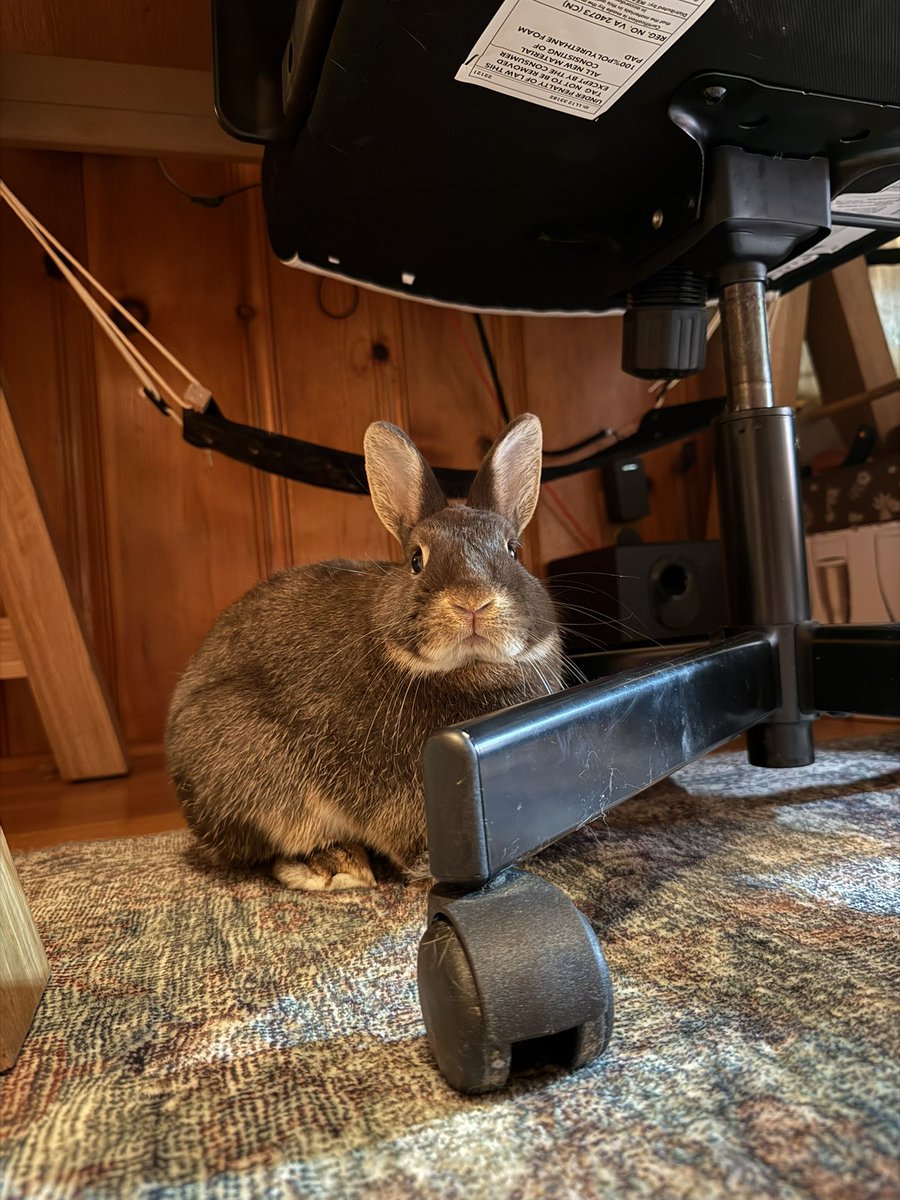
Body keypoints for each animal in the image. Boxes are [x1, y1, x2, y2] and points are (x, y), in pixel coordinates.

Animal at [165, 413, 563, 891]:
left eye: (513, 551)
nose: (472, 602)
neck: (466, 670)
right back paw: (336, 866)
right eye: (416, 560)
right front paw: (429, 869)